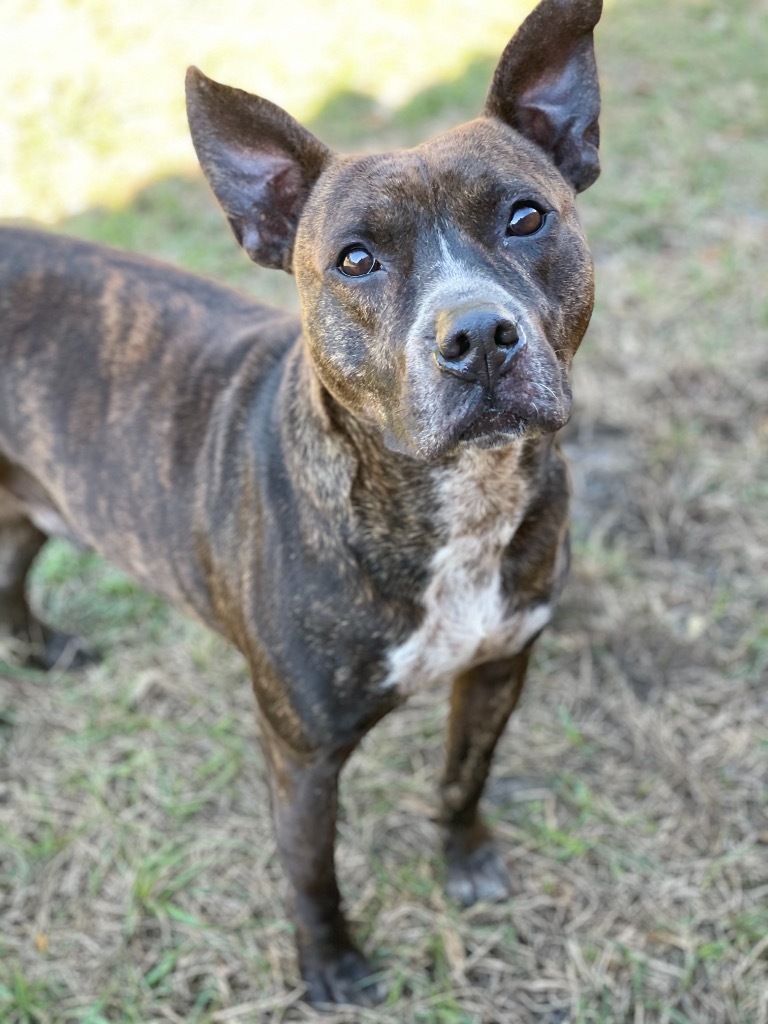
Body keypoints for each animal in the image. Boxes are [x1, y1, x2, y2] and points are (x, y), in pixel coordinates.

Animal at [0, 0, 602, 1007]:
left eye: (526, 217)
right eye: (355, 259)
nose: (478, 334)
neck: (452, 503)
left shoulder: (499, 669)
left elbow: (463, 778)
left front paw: (465, 860)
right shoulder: (303, 754)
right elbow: (310, 866)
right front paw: (331, 967)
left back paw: (43, 650)